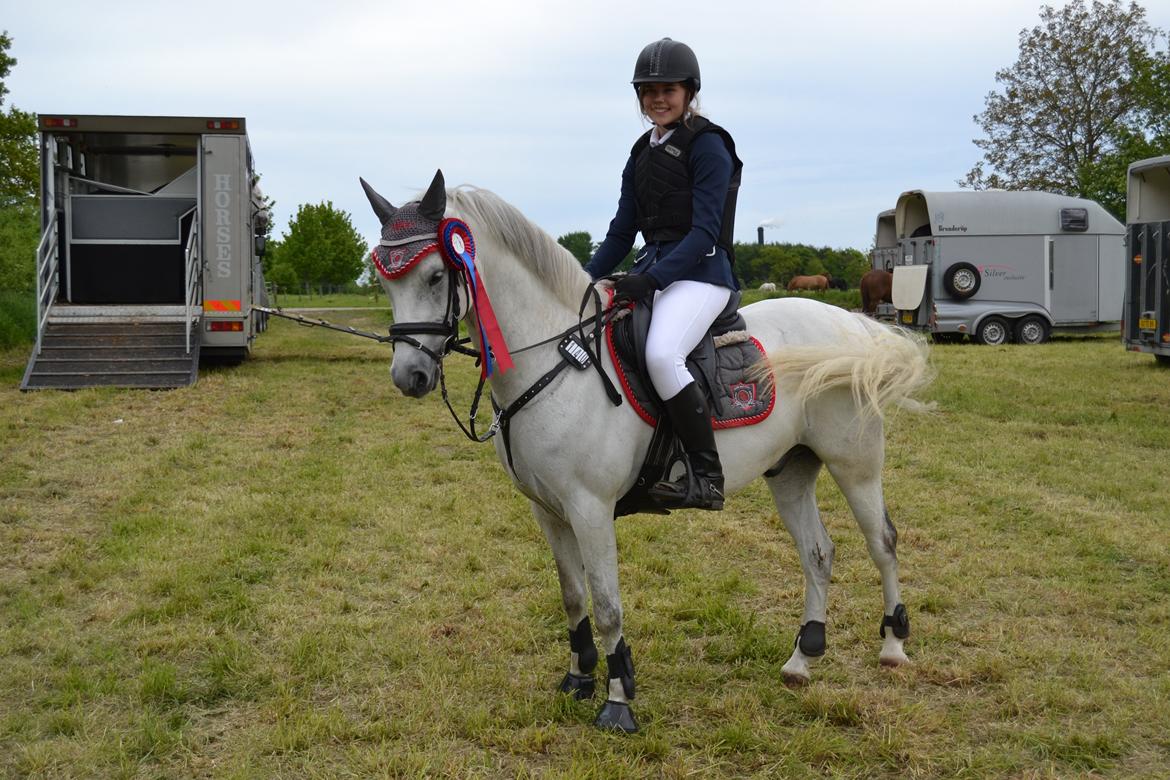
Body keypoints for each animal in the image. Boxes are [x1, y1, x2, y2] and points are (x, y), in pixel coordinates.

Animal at [360, 171, 933, 732]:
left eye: (436, 276)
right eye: (386, 281)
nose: (410, 376)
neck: (556, 360)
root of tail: (852, 324)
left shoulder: (589, 508)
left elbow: (608, 605)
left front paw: (618, 701)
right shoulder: (548, 510)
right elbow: (573, 595)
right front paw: (578, 680)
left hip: (855, 463)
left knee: (882, 542)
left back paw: (893, 646)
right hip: (790, 469)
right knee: (817, 552)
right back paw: (802, 659)